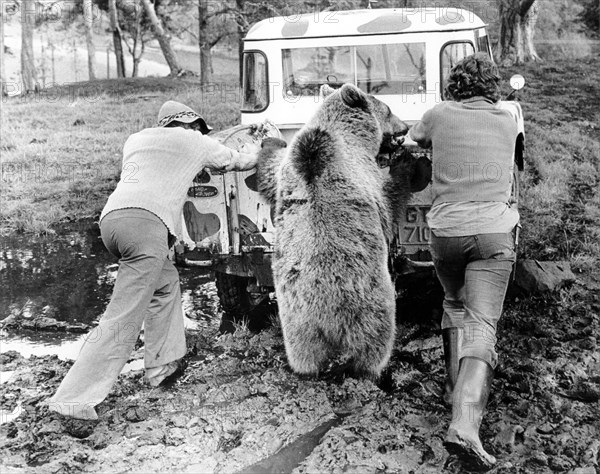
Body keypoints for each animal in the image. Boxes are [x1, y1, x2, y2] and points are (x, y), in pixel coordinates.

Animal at [258, 83, 412, 380]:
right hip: (371, 308)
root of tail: (328, 321)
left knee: (303, 353)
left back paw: (305, 370)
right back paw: (375, 370)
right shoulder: (365, 174)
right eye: (388, 109)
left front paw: (269, 140)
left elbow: (270, 171)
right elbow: (390, 200)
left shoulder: (286, 172)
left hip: (297, 324)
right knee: (374, 343)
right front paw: (411, 164)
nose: (406, 126)